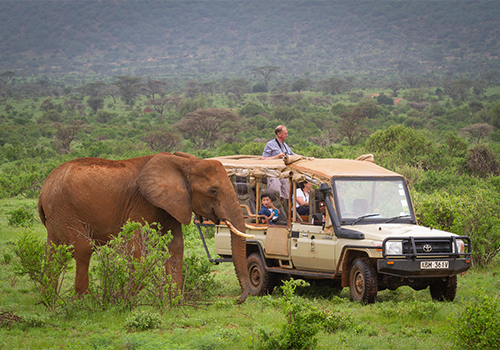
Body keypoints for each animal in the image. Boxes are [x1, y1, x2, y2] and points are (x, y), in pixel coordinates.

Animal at [36, 152, 250, 302]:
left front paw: (174, 301)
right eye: (213, 191)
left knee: (54, 252)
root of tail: (44, 187)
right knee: (83, 248)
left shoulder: (171, 204)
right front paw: (121, 298)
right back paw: (85, 301)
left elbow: (175, 247)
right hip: (64, 209)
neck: (184, 163)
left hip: (57, 215)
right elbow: (137, 247)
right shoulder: (142, 203)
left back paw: (49, 300)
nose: (238, 299)